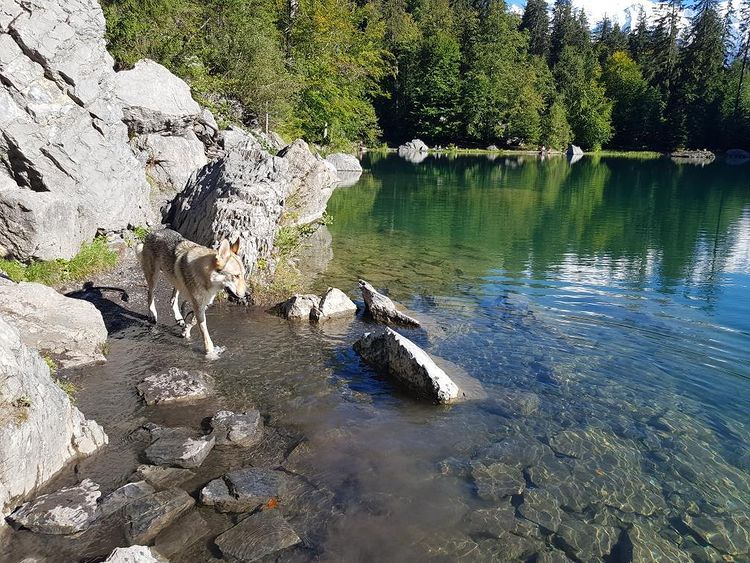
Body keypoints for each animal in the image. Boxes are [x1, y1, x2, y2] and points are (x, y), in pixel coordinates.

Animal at [137, 228, 248, 356]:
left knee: (172, 300)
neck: (206, 277)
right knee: (150, 295)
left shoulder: (203, 304)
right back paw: (152, 314)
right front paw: (210, 352)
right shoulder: (198, 305)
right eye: (236, 276)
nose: (247, 294)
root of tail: (153, 232)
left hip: (176, 282)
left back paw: (179, 318)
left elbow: (193, 320)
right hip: (154, 278)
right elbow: (204, 331)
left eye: (243, 275)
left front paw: (185, 330)